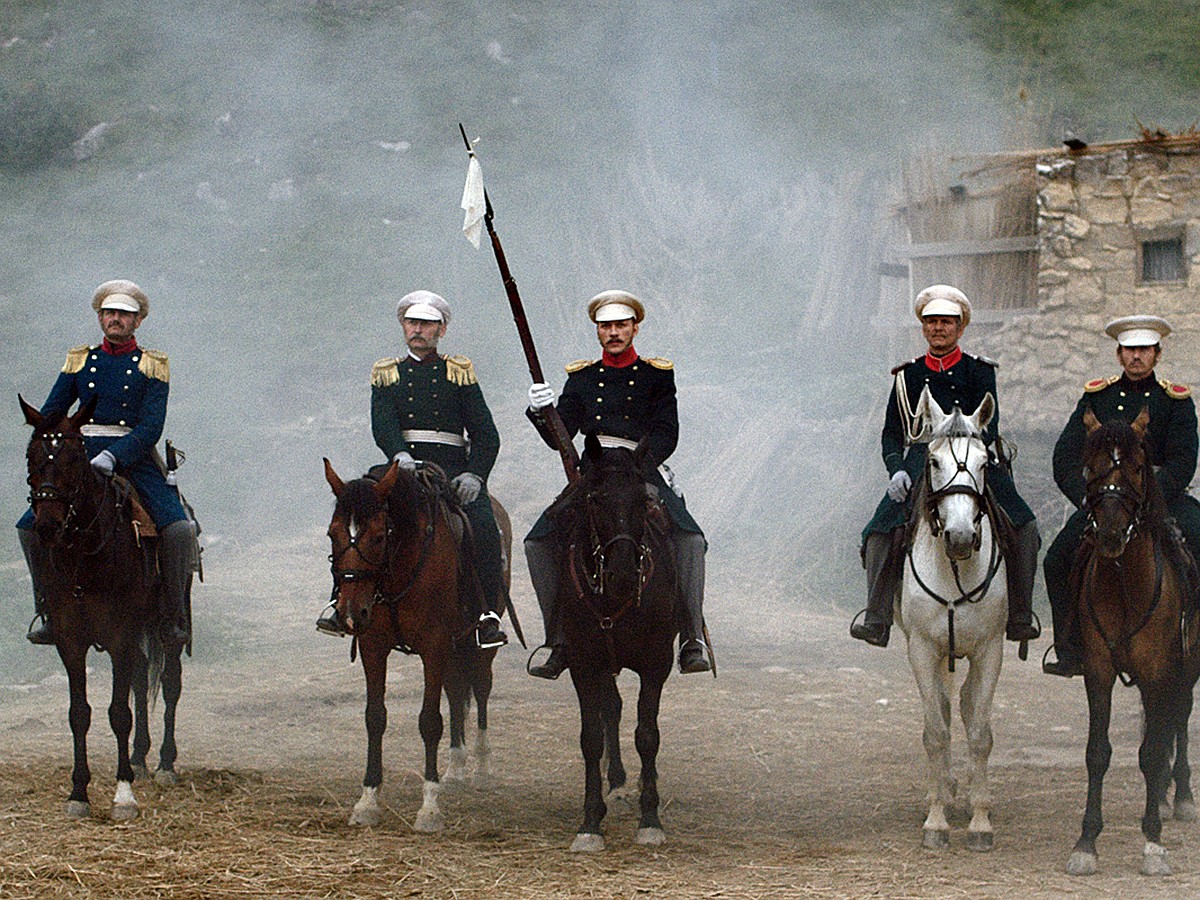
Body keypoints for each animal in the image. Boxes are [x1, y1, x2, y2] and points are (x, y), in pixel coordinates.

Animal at [20, 398, 187, 820]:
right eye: (31, 456)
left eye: (75, 457)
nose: (47, 525)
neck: (83, 552)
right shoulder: (70, 640)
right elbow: (79, 713)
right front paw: (79, 792)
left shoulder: (119, 635)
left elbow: (118, 713)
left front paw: (123, 794)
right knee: (142, 679)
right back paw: (140, 758)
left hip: (166, 626)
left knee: (170, 682)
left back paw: (164, 763)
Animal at [324, 458, 501, 830]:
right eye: (332, 535)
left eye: (379, 536)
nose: (351, 613)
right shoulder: (373, 645)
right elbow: (375, 717)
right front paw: (368, 800)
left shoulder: (434, 646)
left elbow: (429, 721)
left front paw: (429, 808)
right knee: (456, 694)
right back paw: (456, 767)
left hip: (476, 645)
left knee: (480, 690)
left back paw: (480, 766)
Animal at [547, 434, 681, 849]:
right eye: (595, 499)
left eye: (642, 499)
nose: (622, 573)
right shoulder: (584, 664)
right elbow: (591, 736)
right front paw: (590, 822)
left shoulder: (656, 663)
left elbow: (648, 735)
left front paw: (650, 819)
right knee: (612, 709)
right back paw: (616, 782)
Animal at [1070, 408, 1200, 873]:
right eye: (1089, 466)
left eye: (1140, 467)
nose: (1110, 534)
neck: (1126, 585)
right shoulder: (1099, 671)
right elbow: (1098, 752)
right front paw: (1086, 842)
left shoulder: (1161, 670)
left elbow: (1152, 749)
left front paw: (1153, 842)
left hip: (1185, 670)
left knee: (1178, 718)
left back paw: (1179, 796)